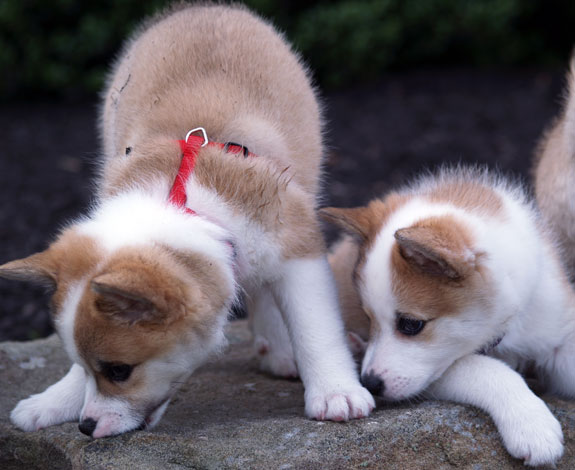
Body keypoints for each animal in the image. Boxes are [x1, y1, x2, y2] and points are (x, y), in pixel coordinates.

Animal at [0, 2, 374, 440]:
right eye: (98, 368)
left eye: (119, 371)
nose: (86, 427)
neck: (185, 202)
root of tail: (204, 7)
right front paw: (55, 400)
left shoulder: (299, 248)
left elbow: (316, 328)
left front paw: (336, 392)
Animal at [324, 166, 572, 466]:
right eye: (368, 317)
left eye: (410, 324)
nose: (370, 384)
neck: (506, 329)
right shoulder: (436, 374)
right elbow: (489, 369)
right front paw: (532, 424)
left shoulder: (554, 323)